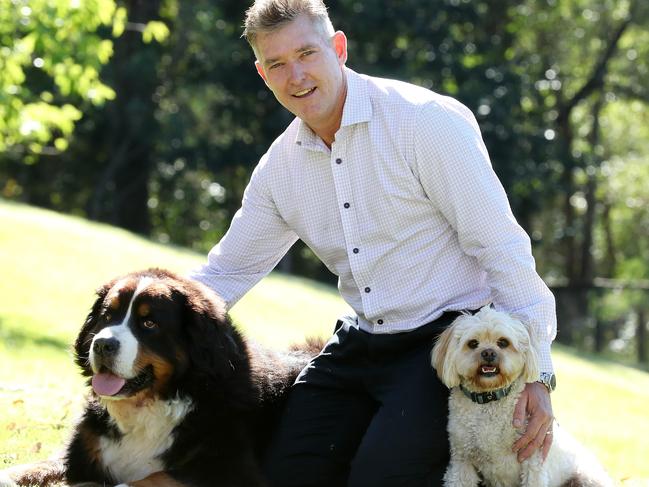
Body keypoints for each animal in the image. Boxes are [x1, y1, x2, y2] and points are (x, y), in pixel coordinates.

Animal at [1, 268, 320, 486]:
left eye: (149, 323)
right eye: (107, 316)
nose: (102, 344)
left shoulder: (228, 471)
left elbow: (148, 479)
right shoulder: (82, 454)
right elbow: (34, 467)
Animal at [430, 308, 612, 487]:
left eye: (503, 342)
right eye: (473, 343)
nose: (488, 353)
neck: (489, 399)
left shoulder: (533, 459)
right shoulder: (462, 462)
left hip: (588, 478)